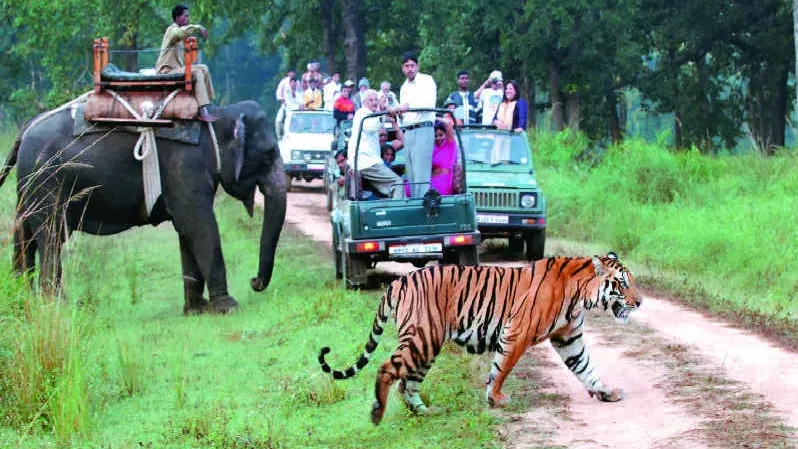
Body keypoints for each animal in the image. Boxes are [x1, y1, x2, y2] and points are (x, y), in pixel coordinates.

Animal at [318, 252, 642, 426]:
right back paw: (377, 413)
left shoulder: (569, 339)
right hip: (422, 338)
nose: (639, 302)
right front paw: (495, 398)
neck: (581, 296)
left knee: (407, 382)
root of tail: (398, 281)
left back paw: (424, 412)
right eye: (622, 284)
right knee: (387, 370)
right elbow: (502, 368)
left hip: (426, 344)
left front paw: (606, 392)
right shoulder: (517, 333)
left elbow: (586, 368)